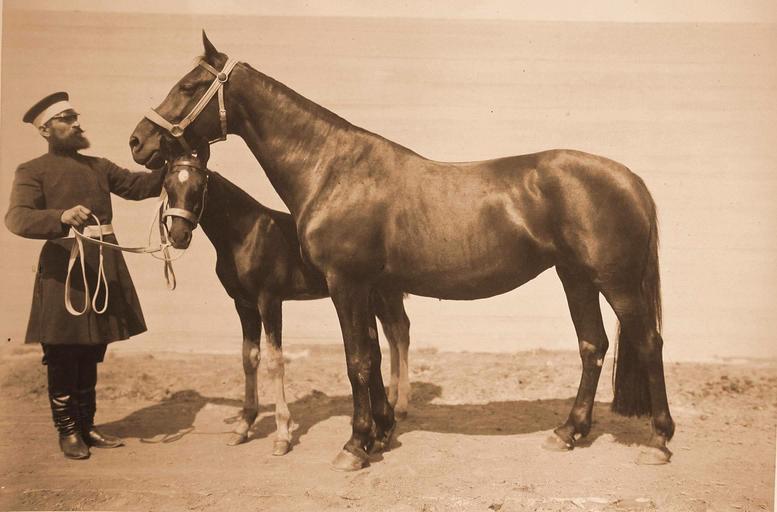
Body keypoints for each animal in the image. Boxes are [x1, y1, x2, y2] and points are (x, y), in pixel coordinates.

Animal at [160, 149, 411, 456]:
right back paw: (393, 400)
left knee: (400, 332)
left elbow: (274, 360)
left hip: (384, 296)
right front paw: (243, 426)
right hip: (372, 298)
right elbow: (249, 358)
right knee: (391, 335)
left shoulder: (269, 300)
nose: (179, 236)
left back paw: (402, 404)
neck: (245, 234)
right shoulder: (243, 304)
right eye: (168, 186)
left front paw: (282, 435)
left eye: (199, 186)